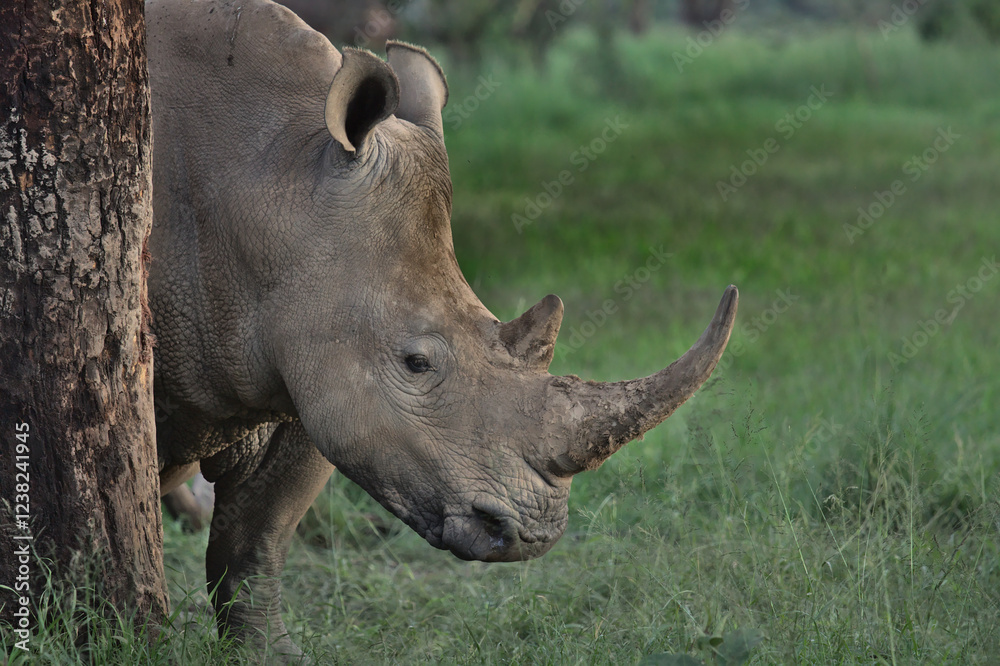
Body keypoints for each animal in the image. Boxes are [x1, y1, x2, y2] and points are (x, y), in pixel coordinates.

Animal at [146, 0, 738, 655]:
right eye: (416, 363)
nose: (533, 533)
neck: (269, 177)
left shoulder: (305, 362)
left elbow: (256, 539)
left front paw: (271, 656)